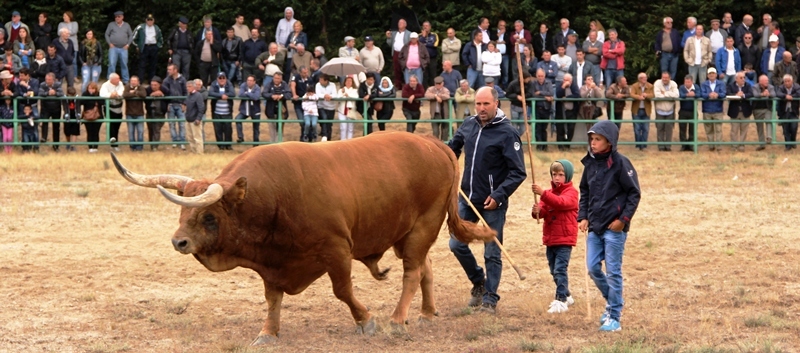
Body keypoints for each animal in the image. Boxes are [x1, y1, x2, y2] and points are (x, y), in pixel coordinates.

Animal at [109, 131, 490, 344]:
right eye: (182, 212)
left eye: (209, 215)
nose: (179, 242)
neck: (275, 195)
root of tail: (432, 142)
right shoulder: (272, 263)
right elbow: (272, 299)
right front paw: (268, 333)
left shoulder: (337, 249)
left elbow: (343, 291)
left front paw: (366, 321)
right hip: (407, 231)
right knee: (425, 267)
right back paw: (425, 313)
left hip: (423, 226)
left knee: (412, 271)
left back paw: (397, 321)